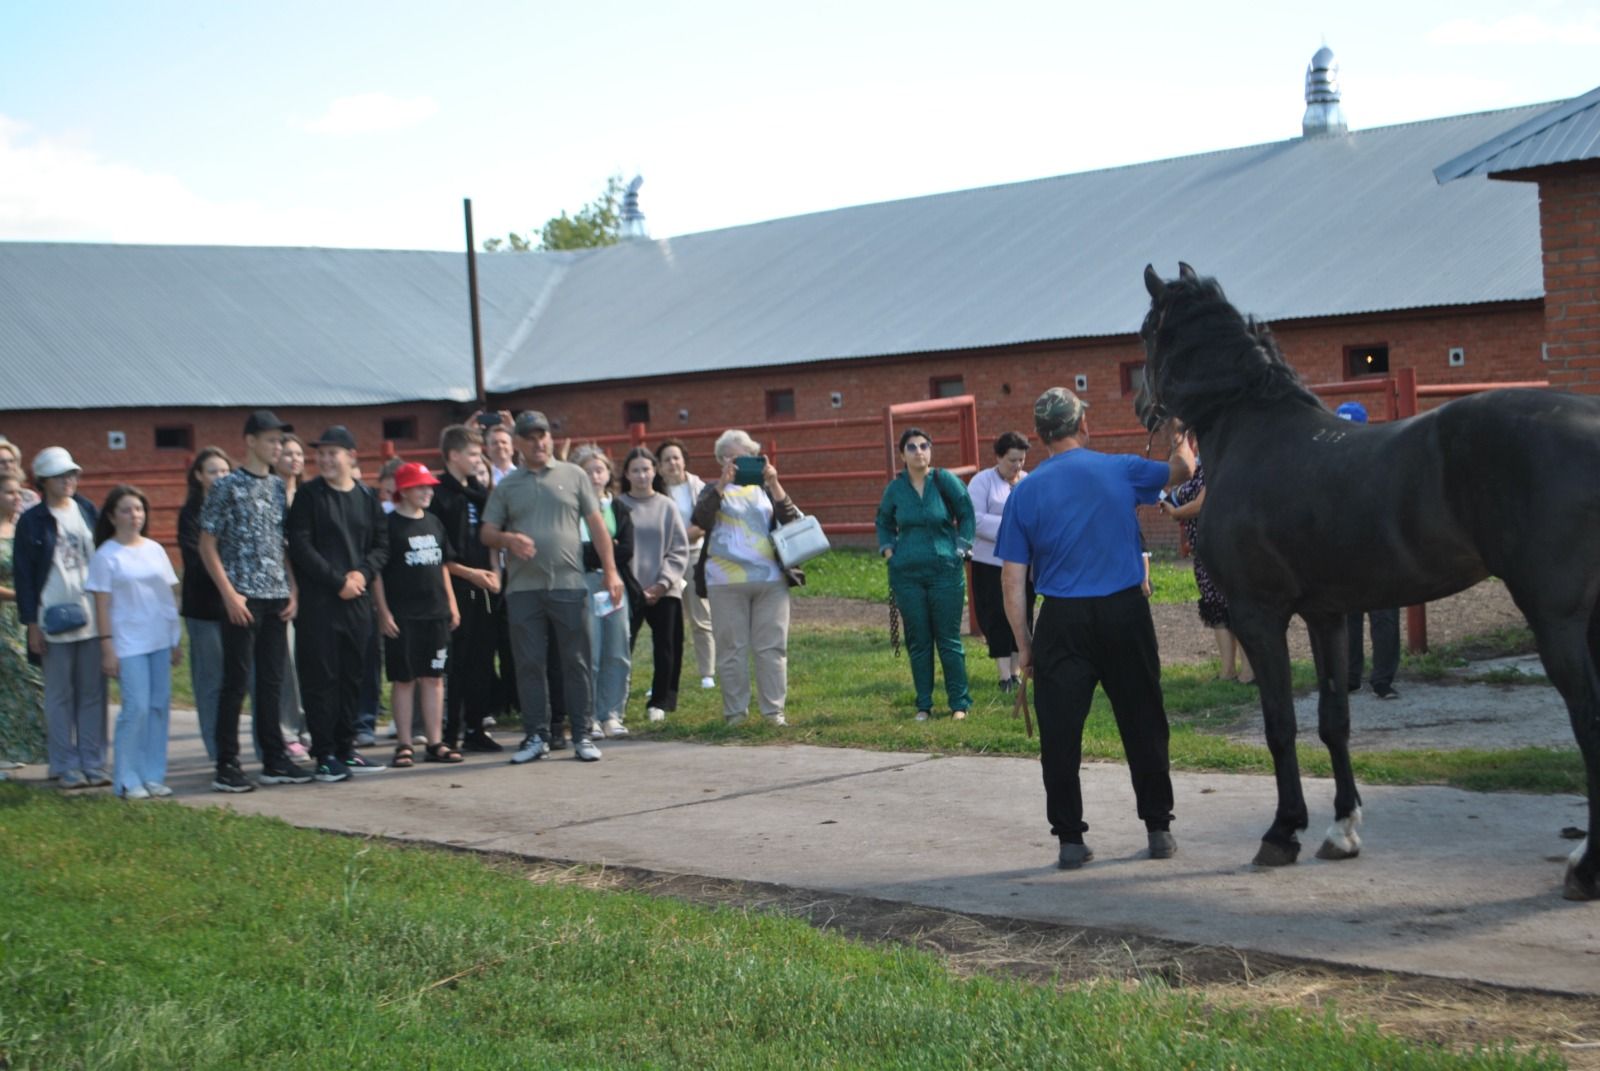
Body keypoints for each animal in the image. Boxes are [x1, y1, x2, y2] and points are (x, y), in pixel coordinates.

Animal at [1132, 262, 1600, 896]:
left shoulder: (1259, 615)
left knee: (1589, 720)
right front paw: (1341, 830)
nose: (1141, 404)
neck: (1255, 430)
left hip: (1557, 618)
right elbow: (1335, 720)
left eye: (1146, 333)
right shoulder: (1328, 614)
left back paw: (1586, 868)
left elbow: (1281, 723)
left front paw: (1283, 832)